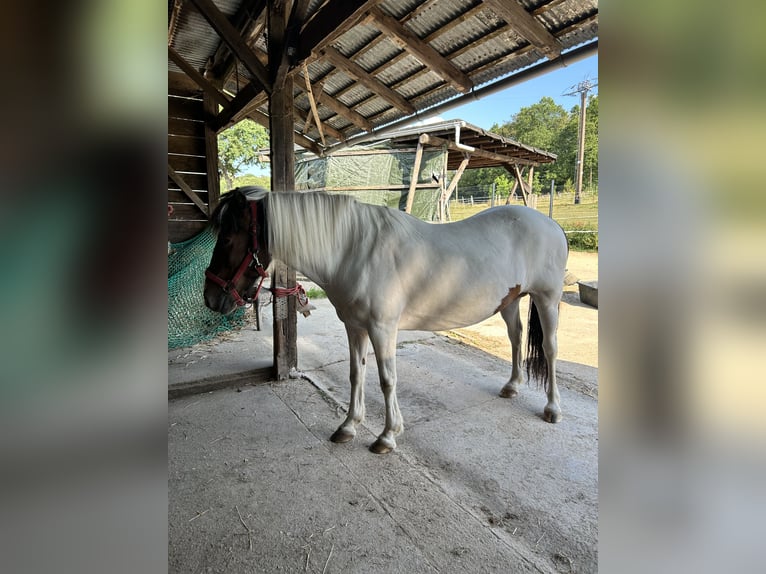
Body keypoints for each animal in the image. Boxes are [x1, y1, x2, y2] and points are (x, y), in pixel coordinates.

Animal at [204, 186, 568, 454]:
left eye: (228, 239)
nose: (210, 298)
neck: (353, 251)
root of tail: (553, 225)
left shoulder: (382, 329)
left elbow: (387, 379)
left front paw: (387, 436)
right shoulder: (354, 326)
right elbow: (356, 374)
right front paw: (348, 426)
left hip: (547, 299)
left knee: (550, 349)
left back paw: (553, 409)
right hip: (511, 300)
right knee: (517, 337)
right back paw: (512, 386)